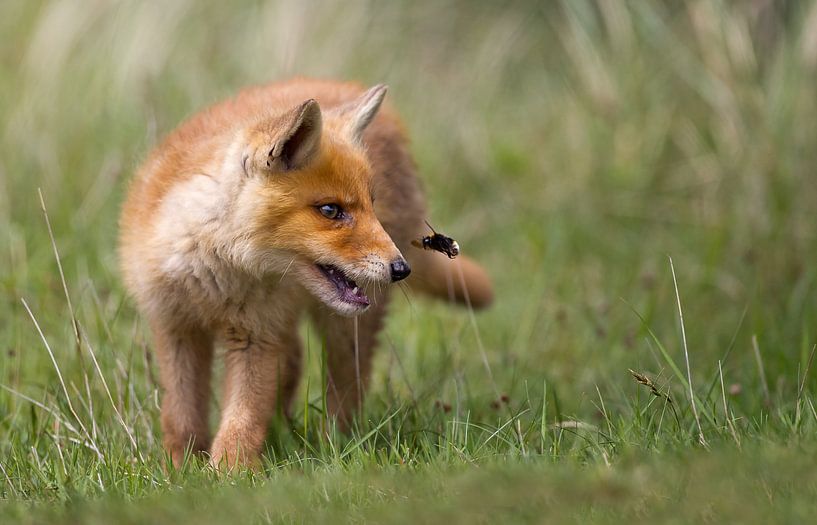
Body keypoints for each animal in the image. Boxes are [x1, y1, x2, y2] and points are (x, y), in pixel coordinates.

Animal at [120, 77, 490, 466]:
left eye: (371, 205)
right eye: (331, 210)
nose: (402, 268)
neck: (218, 269)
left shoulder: (256, 335)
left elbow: (242, 421)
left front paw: (228, 472)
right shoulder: (175, 326)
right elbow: (180, 417)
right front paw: (180, 467)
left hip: (346, 331)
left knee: (346, 388)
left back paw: (336, 448)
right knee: (294, 362)